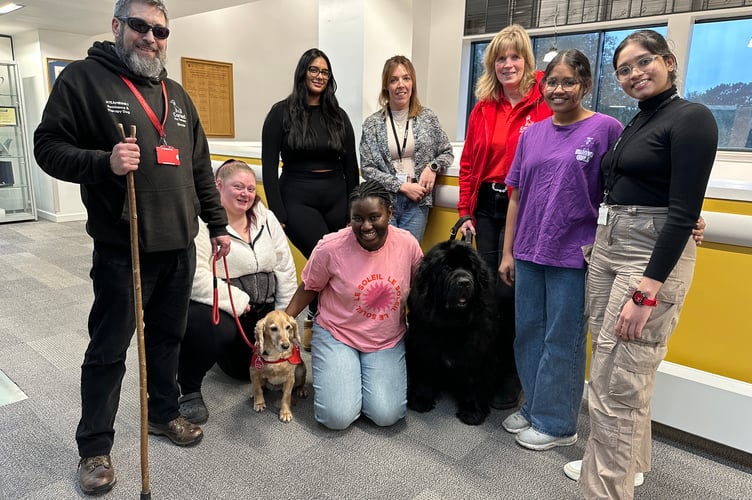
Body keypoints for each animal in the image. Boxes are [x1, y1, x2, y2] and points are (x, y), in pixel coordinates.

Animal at [406, 240, 506, 424]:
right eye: (446, 267)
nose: (464, 282)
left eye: (471, 268)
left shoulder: (478, 353)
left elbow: (475, 381)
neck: (451, 322)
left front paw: (472, 411)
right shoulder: (423, 344)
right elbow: (424, 372)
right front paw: (421, 399)